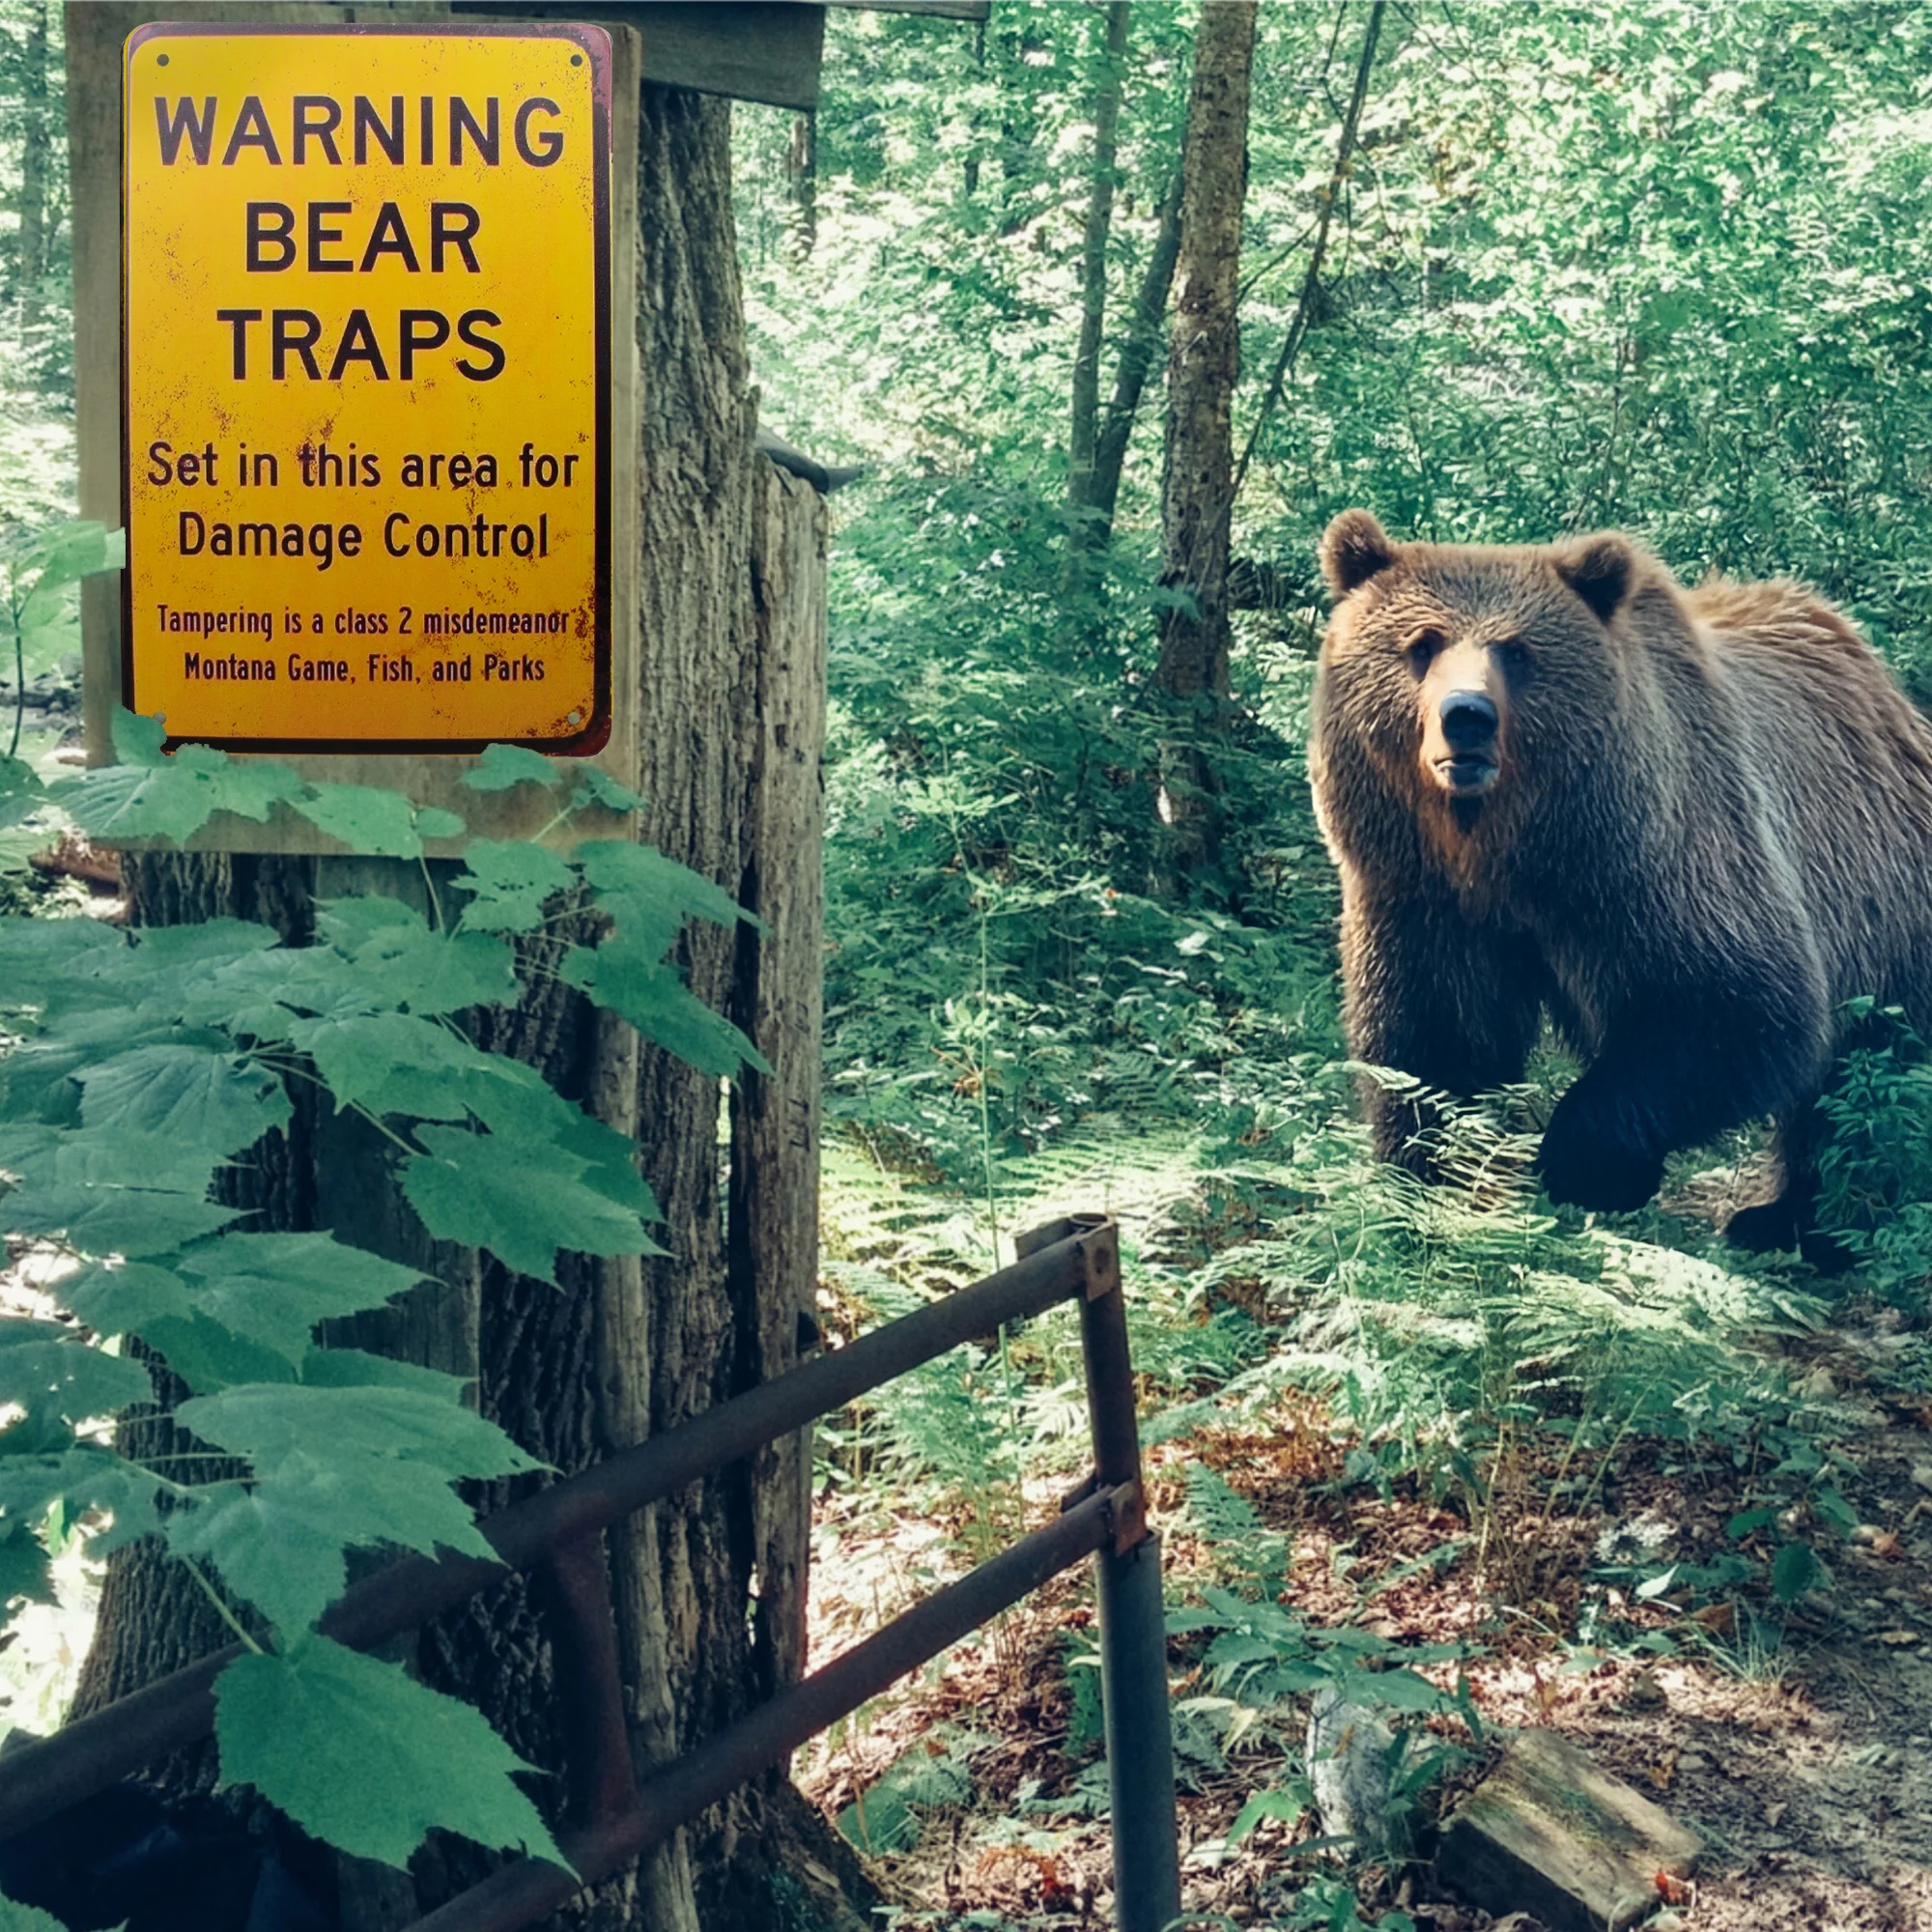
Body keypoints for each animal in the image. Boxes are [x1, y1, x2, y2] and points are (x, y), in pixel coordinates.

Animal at [1308, 508, 1932, 1259]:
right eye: (1422, 644)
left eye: (1517, 652)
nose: (1467, 717)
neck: (1505, 854)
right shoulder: (1421, 895)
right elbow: (1437, 1040)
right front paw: (1429, 1190)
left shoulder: (1654, 861)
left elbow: (1735, 1005)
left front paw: (1585, 1164)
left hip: (1885, 912)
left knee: (1869, 1090)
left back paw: (1810, 1224)